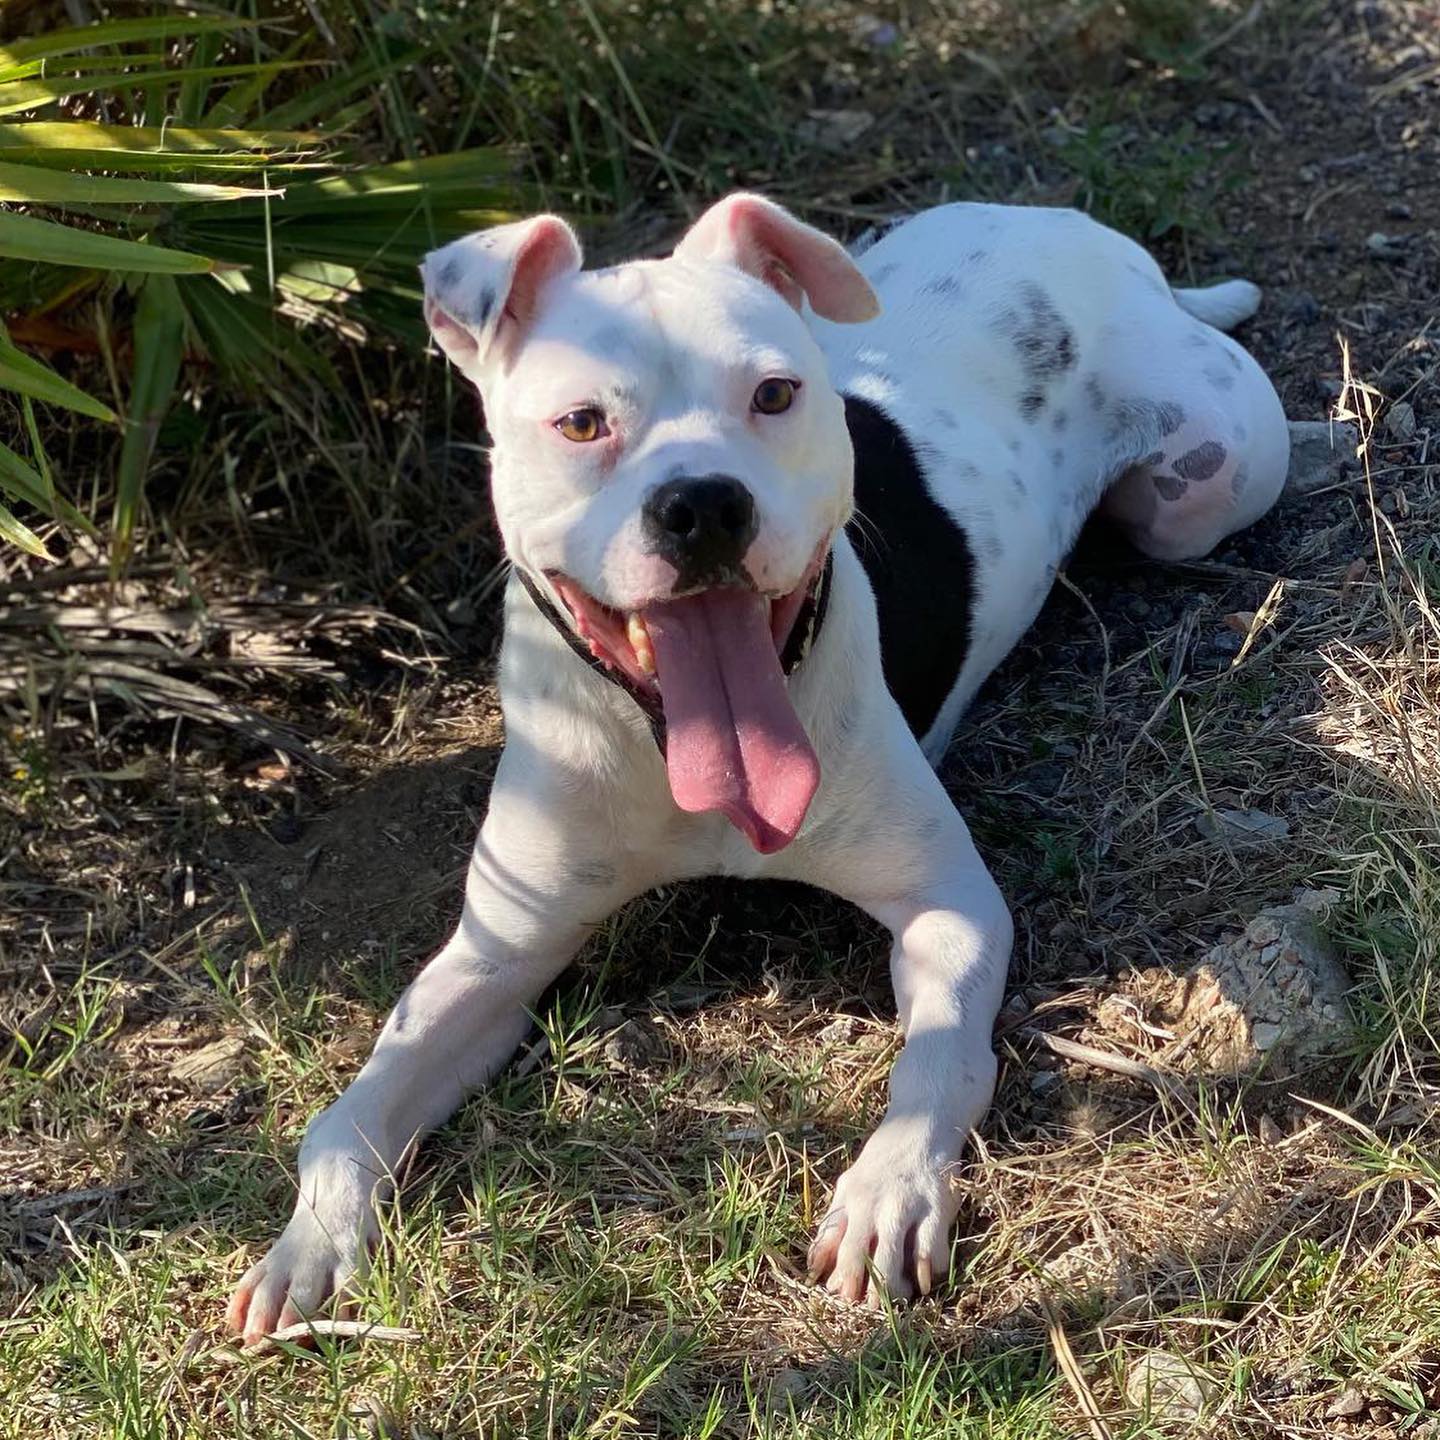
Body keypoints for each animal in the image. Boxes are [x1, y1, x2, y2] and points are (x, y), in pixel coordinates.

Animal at [227, 191, 1296, 1336]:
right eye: (582, 423)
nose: (703, 502)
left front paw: (889, 1192)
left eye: (776, 394)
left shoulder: (950, 904)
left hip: (1209, 481)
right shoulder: (496, 955)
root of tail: (1074, 228)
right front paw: (310, 1244)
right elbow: (356, 1105)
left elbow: (939, 1060)